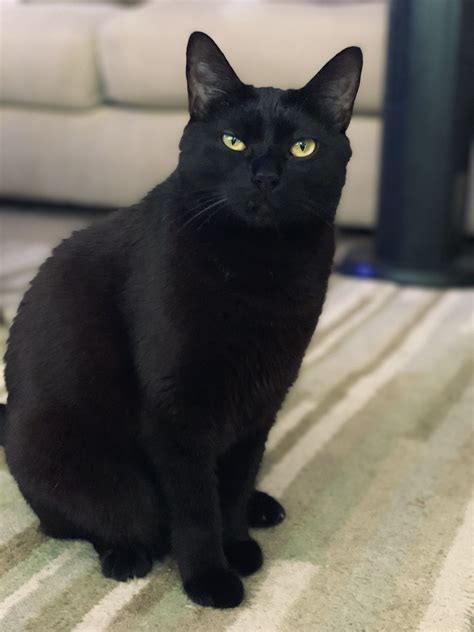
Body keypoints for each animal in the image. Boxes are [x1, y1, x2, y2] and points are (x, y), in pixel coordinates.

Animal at [0, 33, 362, 608]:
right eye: (233, 142)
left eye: (302, 148)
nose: (265, 176)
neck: (258, 268)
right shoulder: (177, 411)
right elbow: (194, 505)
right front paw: (210, 578)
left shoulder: (262, 400)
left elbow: (231, 485)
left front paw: (237, 543)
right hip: (73, 461)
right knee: (81, 521)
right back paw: (124, 555)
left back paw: (261, 506)